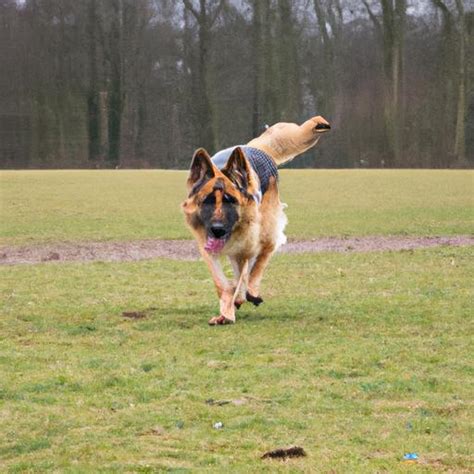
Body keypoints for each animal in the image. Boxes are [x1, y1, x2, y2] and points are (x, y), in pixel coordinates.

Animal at [181, 115, 330, 326]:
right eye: (207, 200)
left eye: (230, 200)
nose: (217, 229)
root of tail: (253, 147)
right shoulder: (209, 248)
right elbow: (222, 283)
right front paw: (227, 309)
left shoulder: (253, 245)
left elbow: (251, 271)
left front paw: (240, 300)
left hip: (266, 232)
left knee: (256, 263)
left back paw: (248, 292)